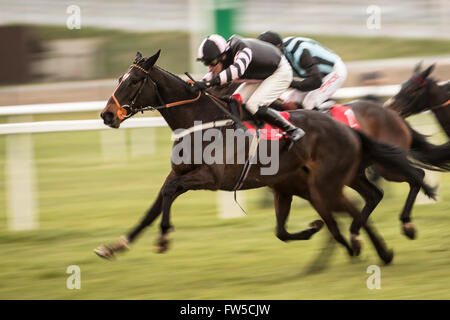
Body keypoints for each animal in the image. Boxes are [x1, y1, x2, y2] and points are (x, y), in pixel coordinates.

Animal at [94, 51, 432, 264]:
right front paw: (114, 246)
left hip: (341, 180)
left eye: (134, 81)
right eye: (119, 78)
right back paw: (364, 245)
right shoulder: (178, 173)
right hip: (333, 180)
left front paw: (164, 237)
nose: (107, 115)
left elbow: (169, 193)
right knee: (366, 199)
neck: (199, 121)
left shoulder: (211, 178)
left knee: (403, 182)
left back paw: (385, 238)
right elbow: (155, 205)